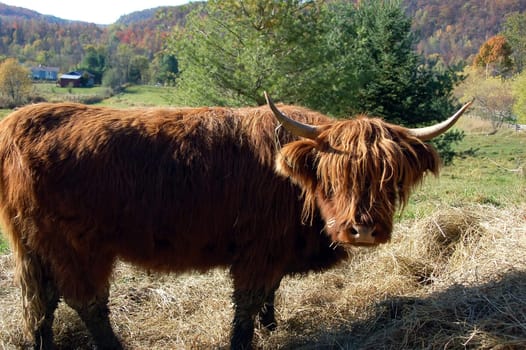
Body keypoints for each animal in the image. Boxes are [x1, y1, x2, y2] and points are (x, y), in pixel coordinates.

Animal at [0, 93, 474, 350]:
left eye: (388, 177)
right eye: (333, 176)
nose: (363, 229)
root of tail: (18, 122)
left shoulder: (276, 250)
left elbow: (271, 292)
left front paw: (272, 326)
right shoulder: (258, 249)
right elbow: (247, 301)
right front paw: (246, 337)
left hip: (34, 246)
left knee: (40, 305)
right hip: (77, 247)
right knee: (87, 303)